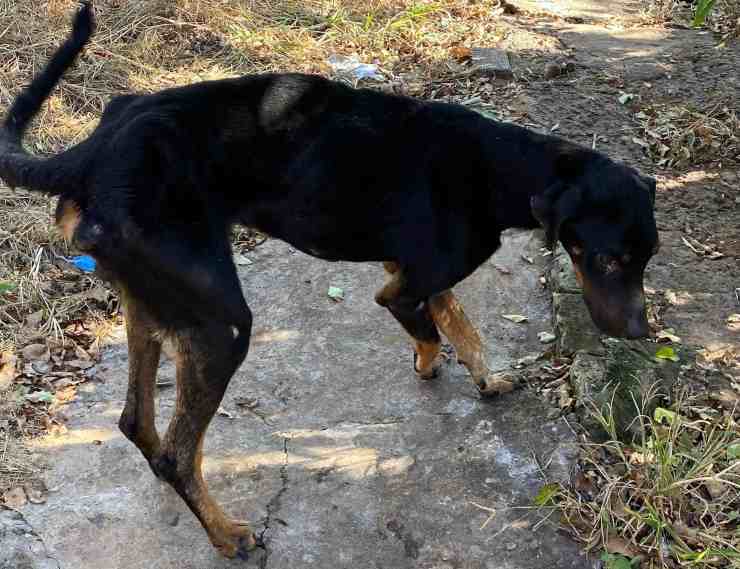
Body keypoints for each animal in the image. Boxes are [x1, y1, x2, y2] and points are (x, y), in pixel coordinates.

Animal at [0, 2, 660, 556]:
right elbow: (431, 330)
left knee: (140, 425)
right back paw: (227, 535)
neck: (497, 168)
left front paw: (487, 379)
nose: (640, 334)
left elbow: (462, 327)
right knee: (178, 455)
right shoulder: (400, 287)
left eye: (648, 257)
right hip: (220, 325)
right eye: (609, 261)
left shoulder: (417, 270)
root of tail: (91, 152)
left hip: (154, 306)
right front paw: (430, 365)